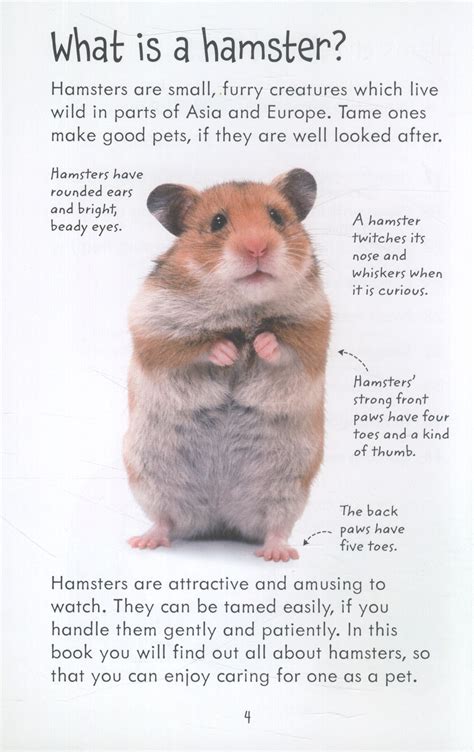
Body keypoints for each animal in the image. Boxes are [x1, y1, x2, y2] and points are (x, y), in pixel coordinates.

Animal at [123, 168, 331, 562]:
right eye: (217, 222)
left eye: (276, 217)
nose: (257, 248)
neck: (242, 308)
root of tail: (221, 519)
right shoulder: (154, 329)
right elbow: (192, 347)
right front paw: (227, 352)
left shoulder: (314, 328)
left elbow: (283, 347)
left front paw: (259, 344)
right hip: (150, 476)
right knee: (165, 519)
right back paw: (142, 541)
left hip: (288, 486)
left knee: (275, 525)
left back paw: (278, 553)